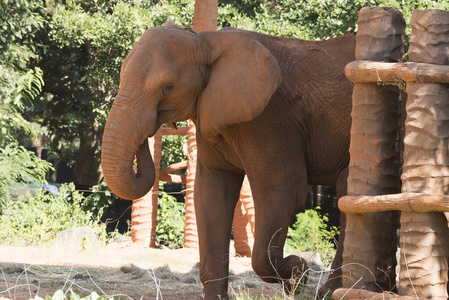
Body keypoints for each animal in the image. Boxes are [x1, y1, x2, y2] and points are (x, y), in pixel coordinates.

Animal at [100, 22, 356, 300]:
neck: (205, 43)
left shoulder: (272, 119)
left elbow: (283, 195)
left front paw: (298, 275)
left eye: (167, 88)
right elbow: (210, 196)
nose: (149, 131)